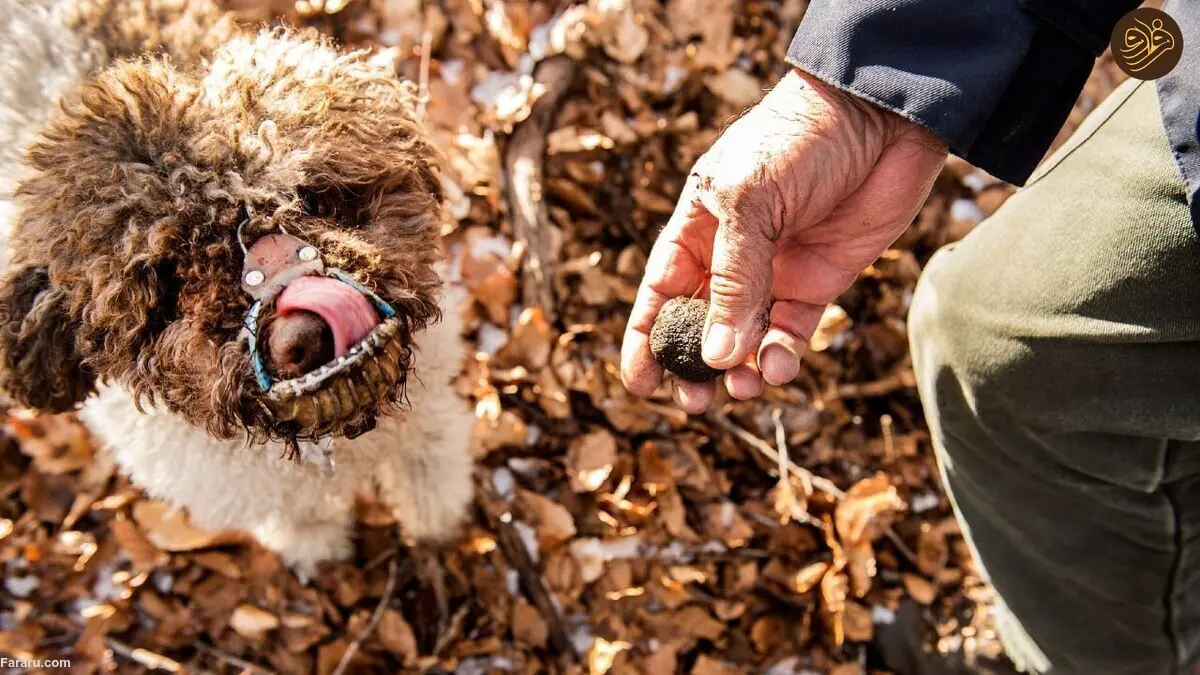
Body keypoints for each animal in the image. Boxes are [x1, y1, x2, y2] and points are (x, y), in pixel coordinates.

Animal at [0, 0, 477, 571]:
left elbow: (433, 484)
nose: (303, 338)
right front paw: (320, 554)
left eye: (311, 199)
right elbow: (303, 524)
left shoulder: (428, 423)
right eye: (167, 285)